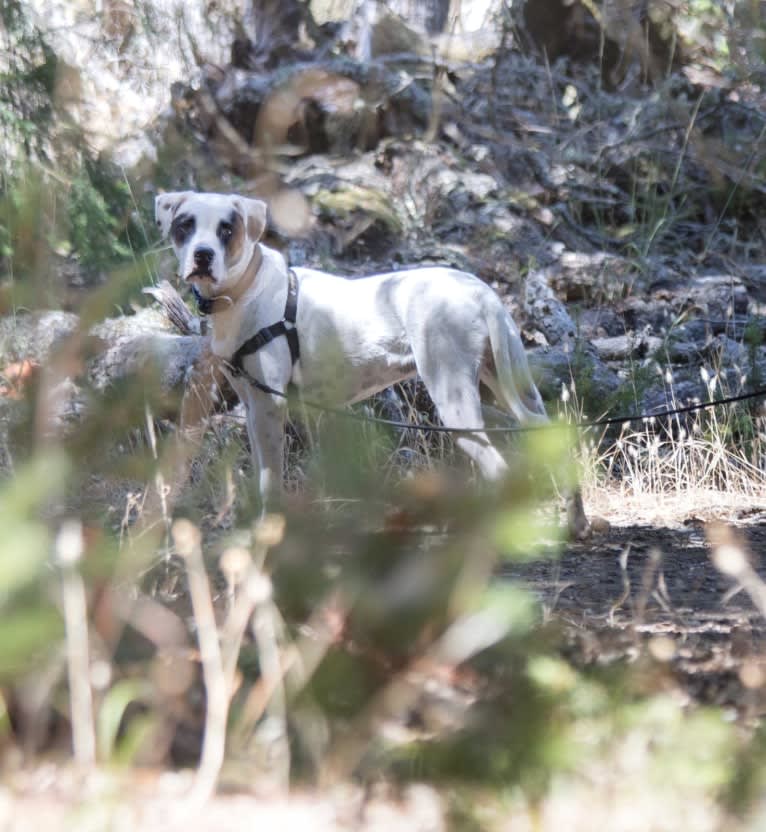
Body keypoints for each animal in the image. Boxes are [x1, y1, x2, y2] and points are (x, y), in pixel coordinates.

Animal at [154, 192, 588, 536]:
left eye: (226, 229)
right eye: (185, 225)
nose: (203, 255)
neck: (245, 290)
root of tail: (482, 292)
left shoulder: (268, 407)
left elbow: (269, 482)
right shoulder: (252, 404)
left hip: (454, 397)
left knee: (496, 467)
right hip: (508, 382)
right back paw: (576, 521)